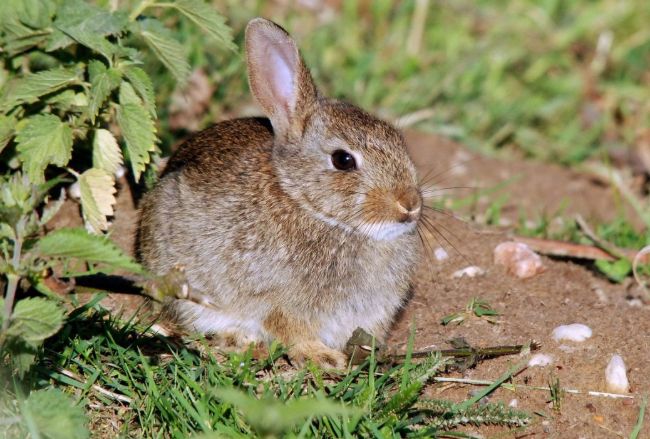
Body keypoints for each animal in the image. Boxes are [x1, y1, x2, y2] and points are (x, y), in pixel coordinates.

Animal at [135, 16, 420, 368]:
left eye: (399, 140)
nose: (409, 205)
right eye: (343, 160)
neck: (309, 206)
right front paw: (322, 358)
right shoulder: (278, 301)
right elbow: (290, 329)